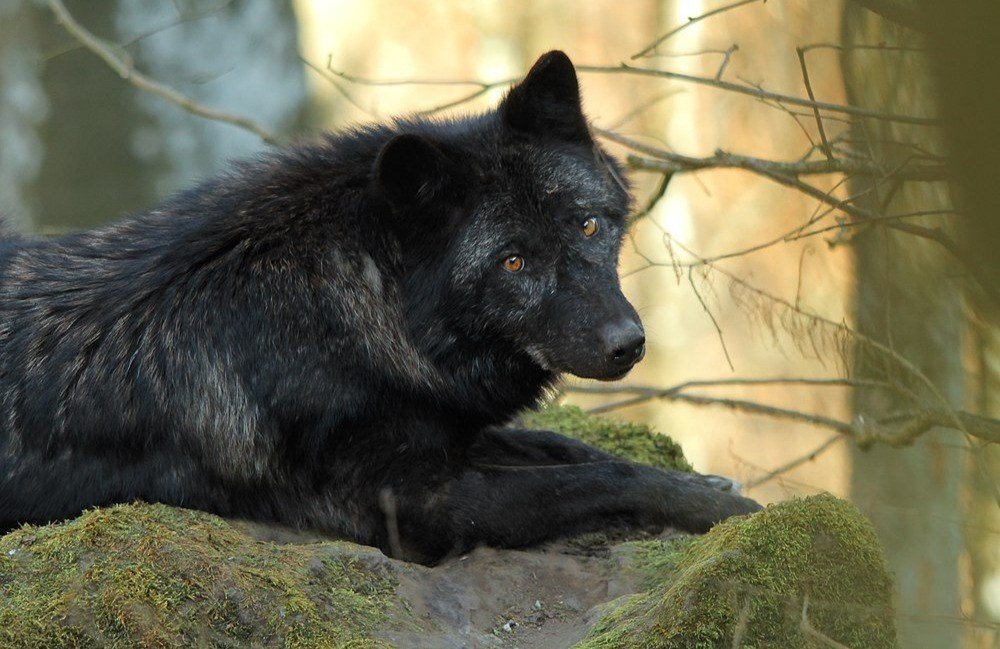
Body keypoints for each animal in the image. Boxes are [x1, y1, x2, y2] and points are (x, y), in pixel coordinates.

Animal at [0, 53, 756, 564]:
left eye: (589, 226)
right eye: (513, 262)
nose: (627, 342)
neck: (344, 306)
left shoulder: (443, 426)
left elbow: (568, 446)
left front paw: (705, 478)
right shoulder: (415, 509)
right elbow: (601, 474)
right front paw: (719, 505)